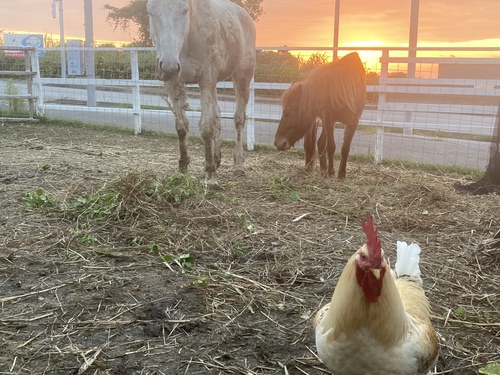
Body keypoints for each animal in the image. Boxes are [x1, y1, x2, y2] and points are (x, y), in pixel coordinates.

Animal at [146, 0, 256, 187]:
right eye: (150, 11)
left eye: (185, 10)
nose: (168, 67)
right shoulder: (173, 84)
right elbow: (181, 126)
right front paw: (183, 169)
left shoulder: (206, 80)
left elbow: (206, 127)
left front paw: (210, 176)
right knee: (218, 115)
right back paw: (217, 159)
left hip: (242, 76)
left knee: (239, 120)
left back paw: (238, 165)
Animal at [276, 51, 366, 179]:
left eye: (287, 112)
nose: (278, 143)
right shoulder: (328, 118)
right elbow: (331, 146)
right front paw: (331, 172)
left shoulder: (353, 121)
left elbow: (345, 148)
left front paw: (341, 174)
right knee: (312, 143)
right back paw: (314, 168)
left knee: (320, 143)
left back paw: (323, 170)